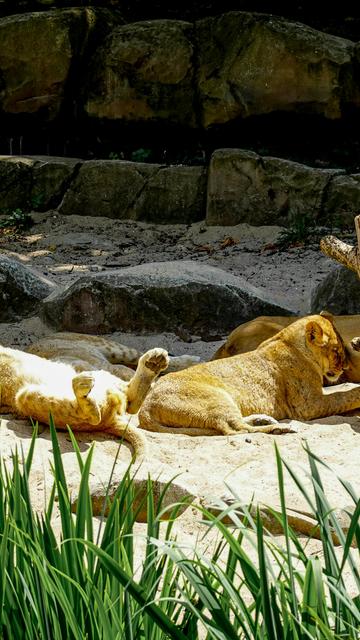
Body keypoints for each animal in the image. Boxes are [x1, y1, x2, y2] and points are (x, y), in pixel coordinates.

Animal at [0, 342, 169, 458]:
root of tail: (112, 421)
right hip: (24, 397)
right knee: (93, 415)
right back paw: (81, 389)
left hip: (100, 375)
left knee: (130, 400)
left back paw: (154, 362)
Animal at [138, 314, 360, 438]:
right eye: (337, 350)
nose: (345, 367)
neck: (288, 341)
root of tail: (146, 406)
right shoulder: (307, 406)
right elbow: (342, 397)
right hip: (218, 399)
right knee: (235, 429)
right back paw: (278, 429)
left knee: (236, 424)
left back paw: (264, 419)